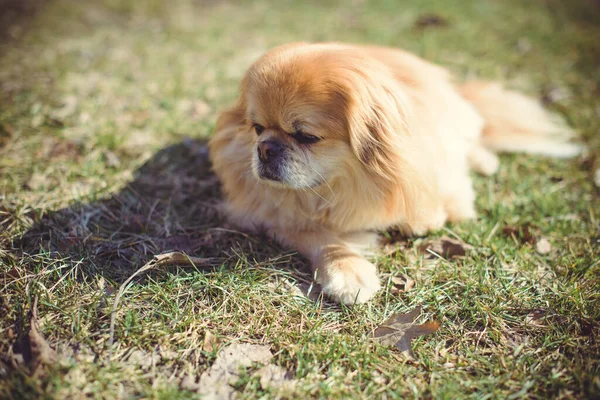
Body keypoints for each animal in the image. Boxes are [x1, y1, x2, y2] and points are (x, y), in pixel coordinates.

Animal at [207, 43, 580, 304]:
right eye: (257, 129)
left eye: (306, 137)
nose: (265, 149)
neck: (344, 186)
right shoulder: (269, 216)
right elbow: (319, 236)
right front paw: (347, 268)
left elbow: (442, 193)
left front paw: (430, 213)